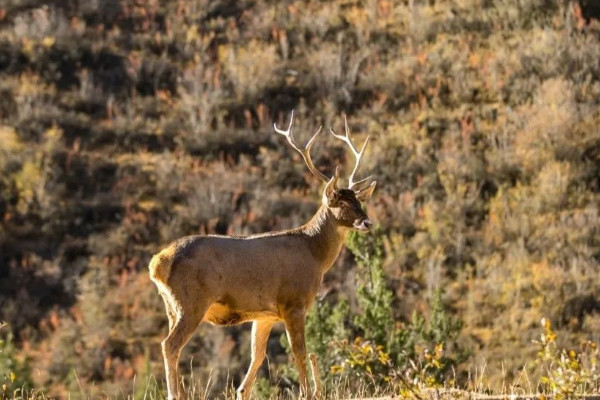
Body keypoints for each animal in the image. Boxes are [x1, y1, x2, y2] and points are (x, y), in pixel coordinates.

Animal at [148, 111, 378, 400]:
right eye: (340, 202)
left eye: (359, 201)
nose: (367, 222)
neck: (314, 254)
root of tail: (158, 262)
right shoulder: (293, 302)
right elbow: (299, 351)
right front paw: (305, 392)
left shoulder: (264, 314)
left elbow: (257, 355)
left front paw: (241, 390)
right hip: (191, 302)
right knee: (169, 345)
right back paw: (174, 394)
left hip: (171, 306)